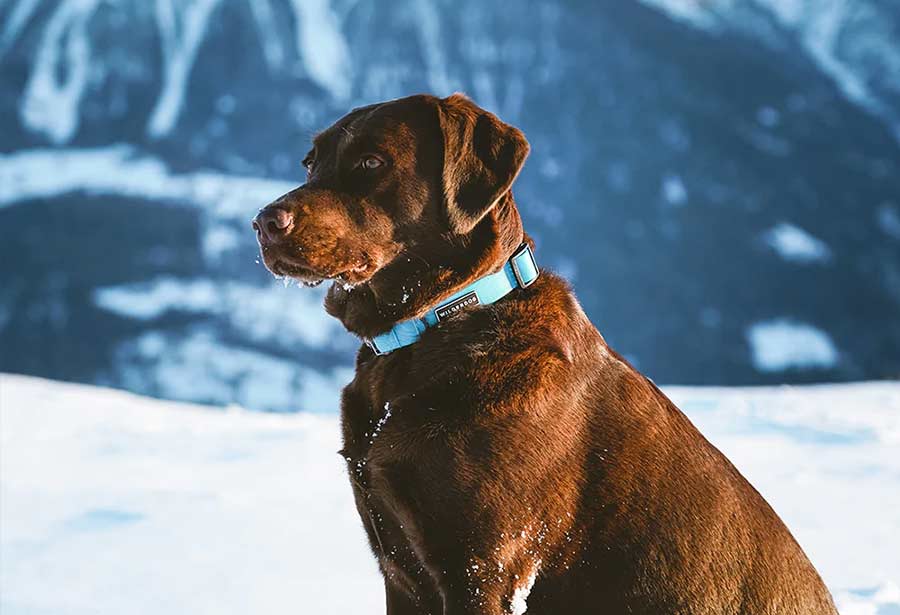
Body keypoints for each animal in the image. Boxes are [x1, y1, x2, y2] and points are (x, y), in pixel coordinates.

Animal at [251, 92, 836, 615]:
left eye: (372, 161)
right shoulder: (399, 569)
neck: (431, 331)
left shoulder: (483, 567)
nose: (263, 222)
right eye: (311, 162)